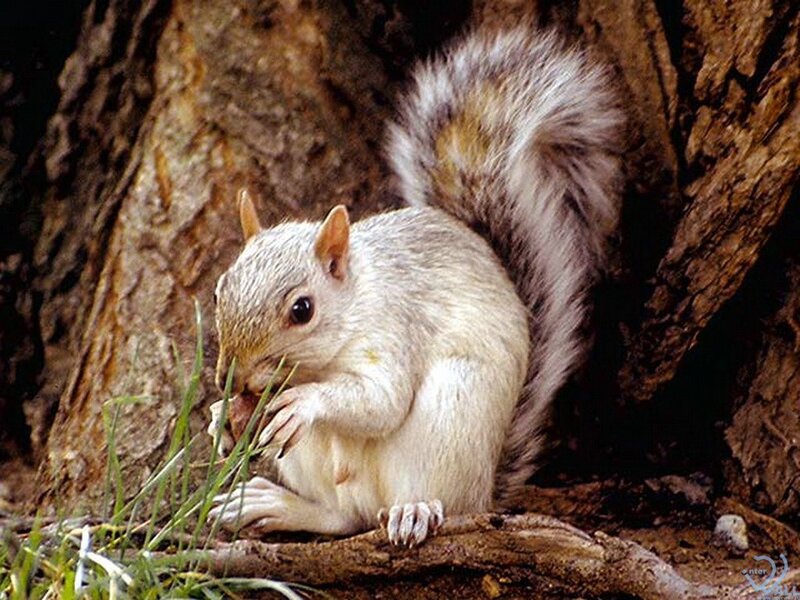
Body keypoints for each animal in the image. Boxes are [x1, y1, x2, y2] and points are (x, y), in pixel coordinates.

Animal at [207, 26, 622, 547]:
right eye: (220, 290)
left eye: (302, 310)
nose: (229, 378)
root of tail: (484, 487)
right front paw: (221, 417)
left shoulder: (395, 330)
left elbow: (382, 401)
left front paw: (305, 402)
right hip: (312, 463)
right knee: (343, 517)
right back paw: (272, 503)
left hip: (451, 413)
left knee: (423, 501)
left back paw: (415, 509)